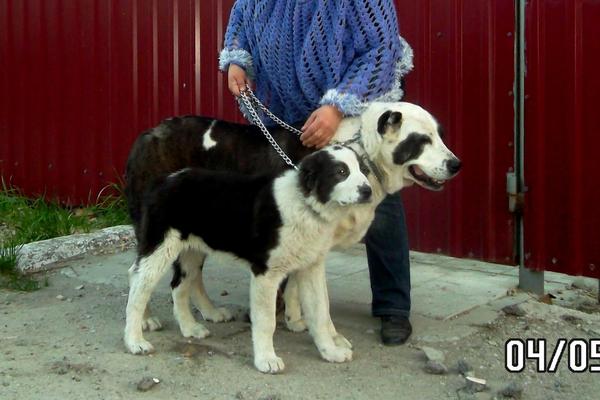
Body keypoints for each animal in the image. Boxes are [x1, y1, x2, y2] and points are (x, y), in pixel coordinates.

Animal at [125, 147, 372, 376]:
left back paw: (189, 328)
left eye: (362, 169)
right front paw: (266, 360)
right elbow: (266, 321)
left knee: (178, 285)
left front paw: (330, 352)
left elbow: (320, 312)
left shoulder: (311, 267)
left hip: (191, 252)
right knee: (138, 286)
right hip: (160, 247)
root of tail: (164, 181)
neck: (305, 204)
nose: (368, 191)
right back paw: (135, 340)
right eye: (341, 172)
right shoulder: (266, 273)